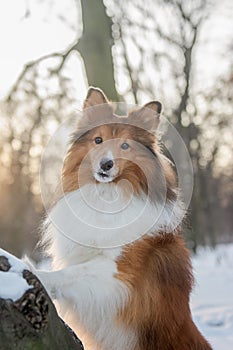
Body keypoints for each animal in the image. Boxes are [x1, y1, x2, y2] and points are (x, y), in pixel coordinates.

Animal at [36, 88, 211, 350]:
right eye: (98, 140)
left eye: (125, 145)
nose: (106, 164)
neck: (107, 194)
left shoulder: (120, 274)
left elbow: (73, 273)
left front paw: (35, 273)